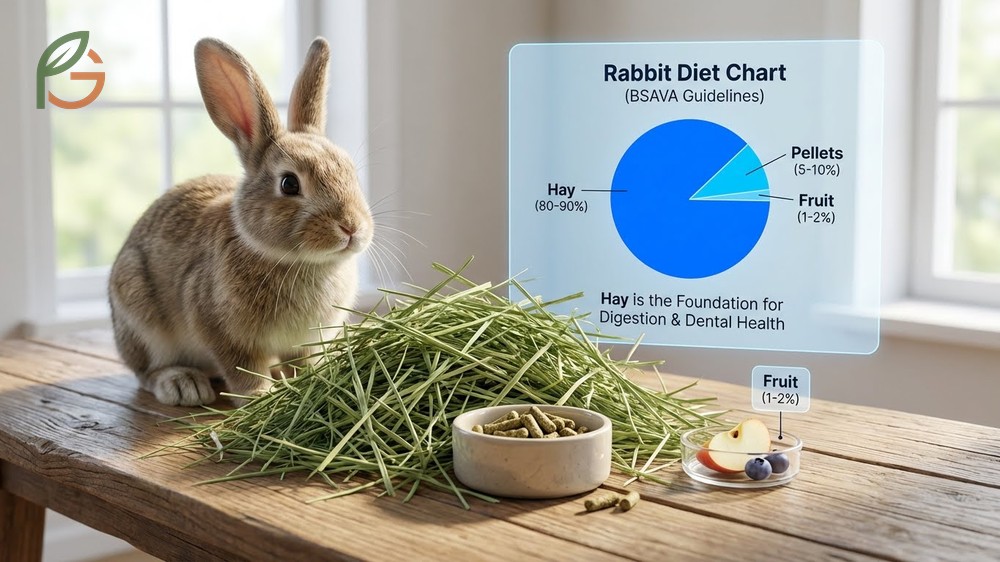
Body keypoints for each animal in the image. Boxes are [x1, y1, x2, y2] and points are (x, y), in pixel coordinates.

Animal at [108, 37, 373, 406]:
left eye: (350, 171)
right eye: (289, 184)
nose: (351, 227)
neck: (298, 261)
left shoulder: (304, 344)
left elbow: (302, 364)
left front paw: (308, 381)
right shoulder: (224, 333)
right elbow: (243, 368)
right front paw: (260, 396)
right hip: (140, 317)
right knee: (146, 372)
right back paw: (182, 384)